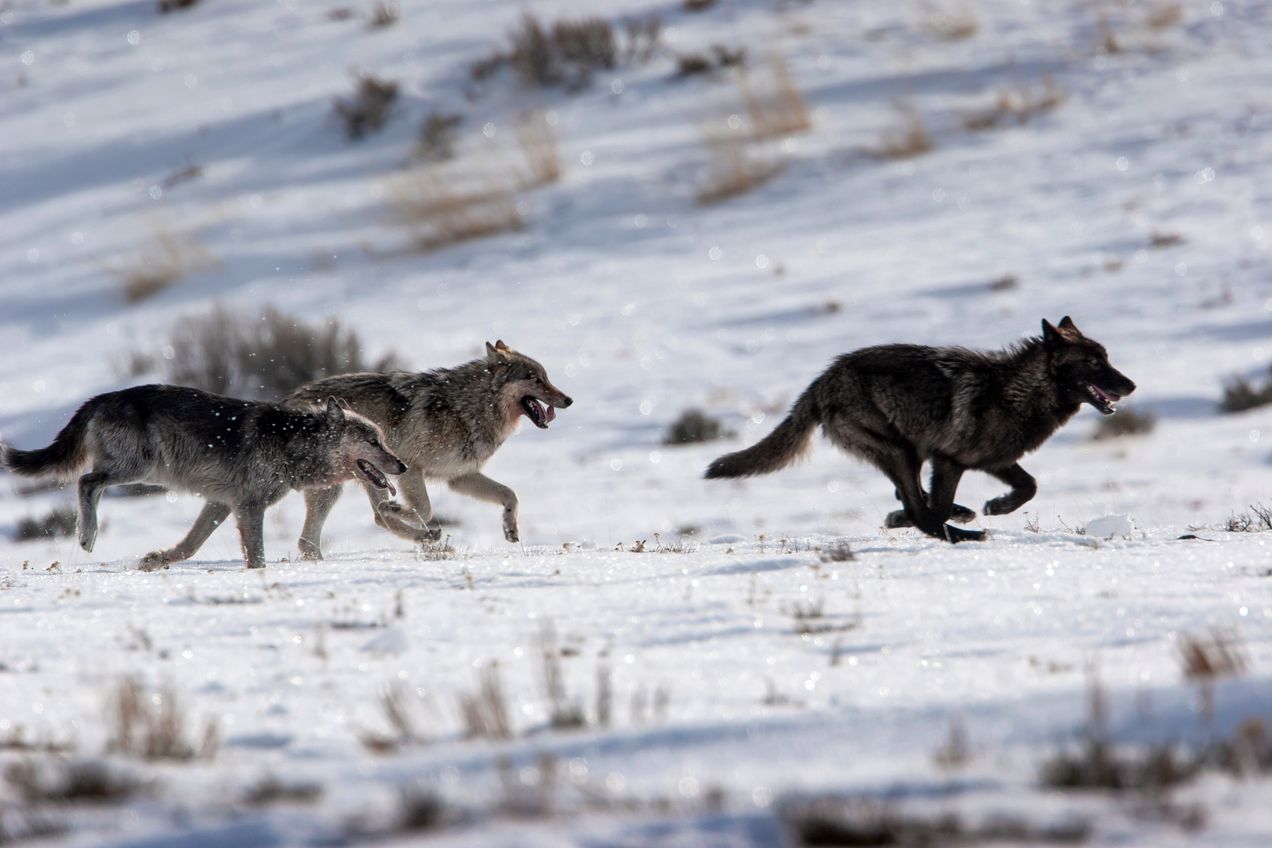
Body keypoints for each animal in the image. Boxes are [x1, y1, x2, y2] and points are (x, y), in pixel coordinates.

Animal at [0, 383, 404, 569]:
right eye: (374, 441)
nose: (402, 466)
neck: (293, 443)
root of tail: (99, 397)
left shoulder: (222, 504)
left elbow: (190, 545)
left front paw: (156, 560)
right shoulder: (250, 507)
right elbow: (257, 556)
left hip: (141, 473)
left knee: (90, 484)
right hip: (139, 470)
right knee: (86, 483)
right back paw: (88, 536)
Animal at [286, 338, 574, 556]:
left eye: (546, 377)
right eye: (534, 379)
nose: (569, 400)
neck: (466, 408)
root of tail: (288, 400)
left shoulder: (460, 476)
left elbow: (510, 494)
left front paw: (510, 527)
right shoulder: (411, 467)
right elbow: (426, 509)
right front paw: (401, 511)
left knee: (315, 539)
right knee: (369, 519)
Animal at [707, 317, 1144, 544]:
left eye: (1106, 357)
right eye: (1093, 362)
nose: (1131, 385)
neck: (1015, 390)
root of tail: (823, 380)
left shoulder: (995, 461)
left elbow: (1029, 486)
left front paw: (996, 506)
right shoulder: (949, 460)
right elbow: (933, 507)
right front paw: (966, 518)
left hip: (909, 454)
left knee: (911, 497)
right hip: (902, 452)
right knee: (921, 510)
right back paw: (961, 532)